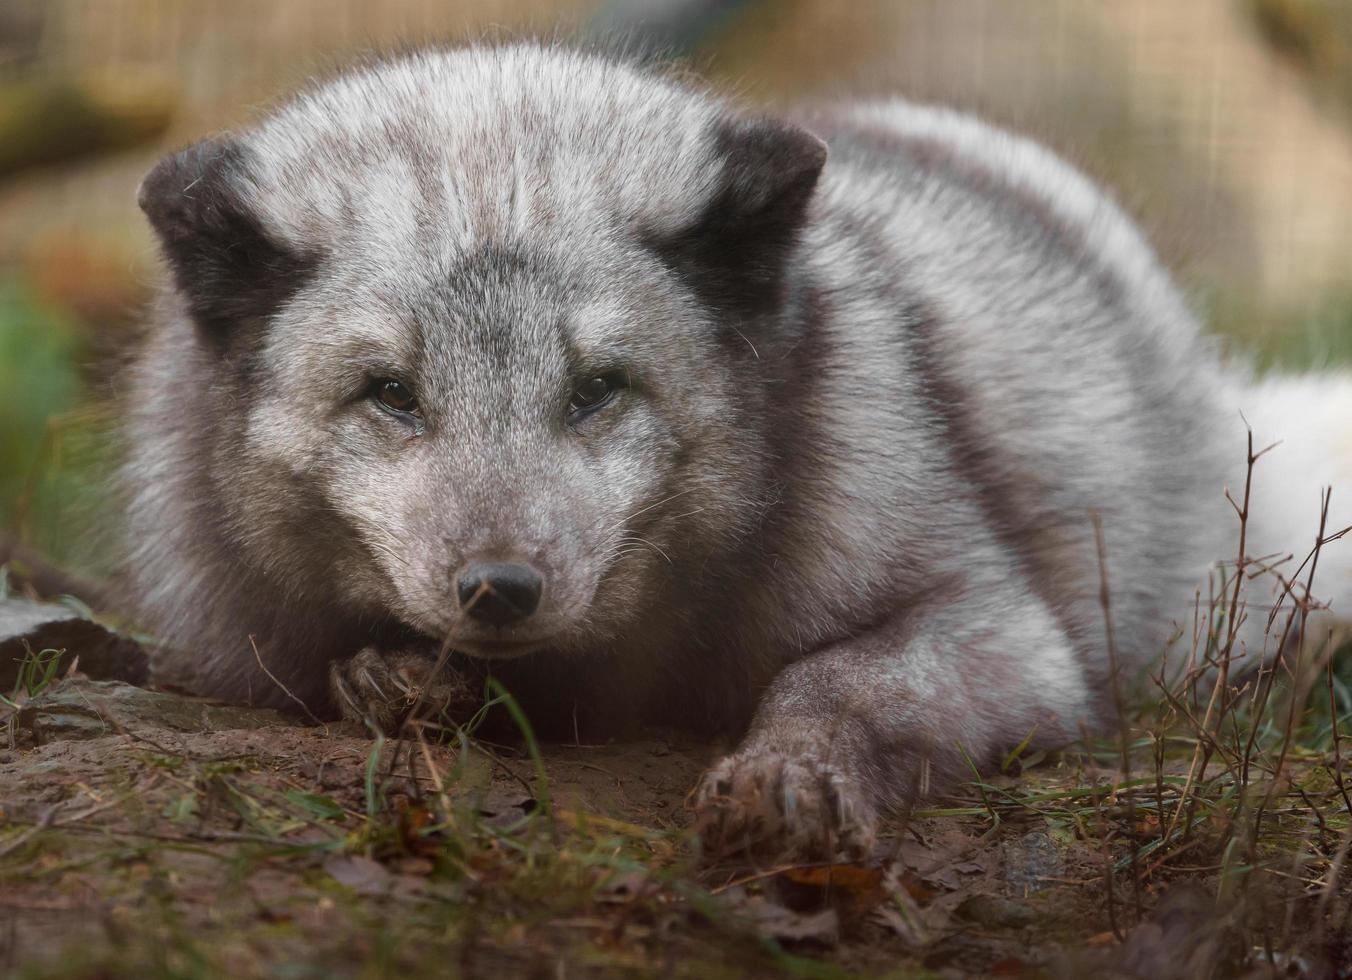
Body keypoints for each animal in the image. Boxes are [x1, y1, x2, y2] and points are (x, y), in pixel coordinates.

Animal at [124, 42, 1341, 854]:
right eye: (390, 394)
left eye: (597, 389)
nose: (499, 588)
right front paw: (401, 675)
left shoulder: (1009, 630)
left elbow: (837, 673)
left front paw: (789, 770)